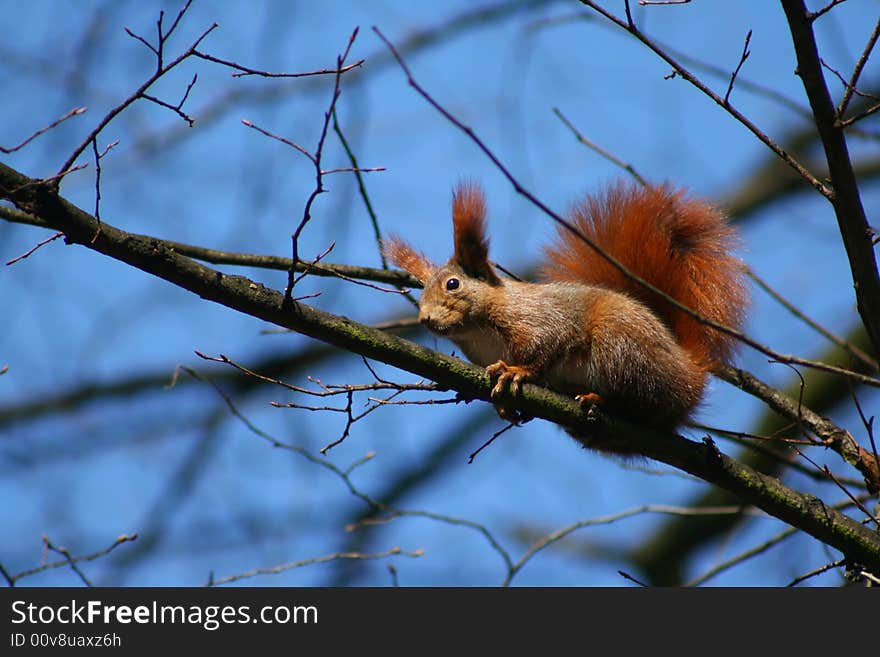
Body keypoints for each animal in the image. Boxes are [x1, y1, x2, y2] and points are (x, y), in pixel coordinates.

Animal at [382, 179, 744, 446]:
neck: (478, 331)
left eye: (453, 284)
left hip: (622, 346)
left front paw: (517, 371)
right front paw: (504, 404)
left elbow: (549, 345)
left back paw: (603, 401)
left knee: (646, 402)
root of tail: (690, 372)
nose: (424, 320)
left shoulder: (539, 319)